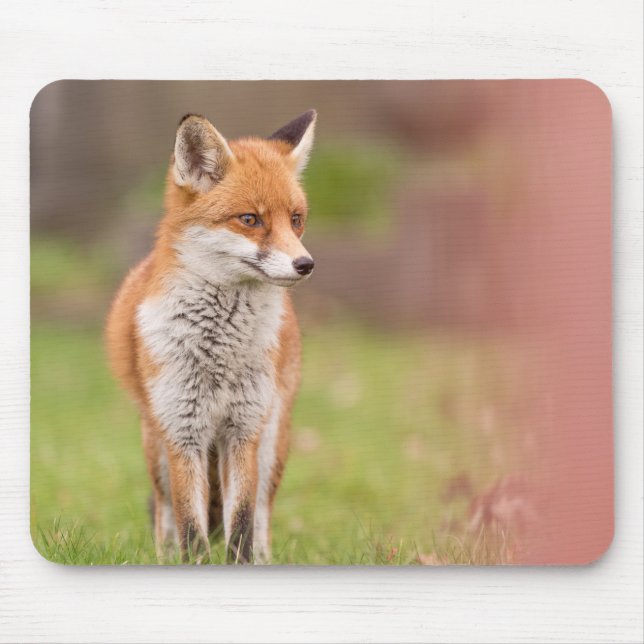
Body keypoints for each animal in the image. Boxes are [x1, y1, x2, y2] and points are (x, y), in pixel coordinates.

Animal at [105, 110, 317, 564]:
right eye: (250, 219)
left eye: (295, 219)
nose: (305, 264)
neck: (220, 350)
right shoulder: (182, 430)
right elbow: (191, 525)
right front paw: (194, 563)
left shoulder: (243, 430)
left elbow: (241, 523)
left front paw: (241, 563)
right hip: (156, 448)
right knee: (165, 512)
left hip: (272, 441)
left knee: (262, 513)